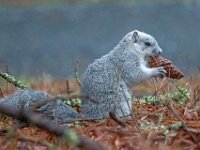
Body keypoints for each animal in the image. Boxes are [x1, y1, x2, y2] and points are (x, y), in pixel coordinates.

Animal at [0, 29, 166, 123]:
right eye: (147, 43)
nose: (160, 52)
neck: (129, 49)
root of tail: (89, 116)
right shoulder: (126, 62)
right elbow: (135, 75)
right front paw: (156, 71)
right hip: (118, 103)